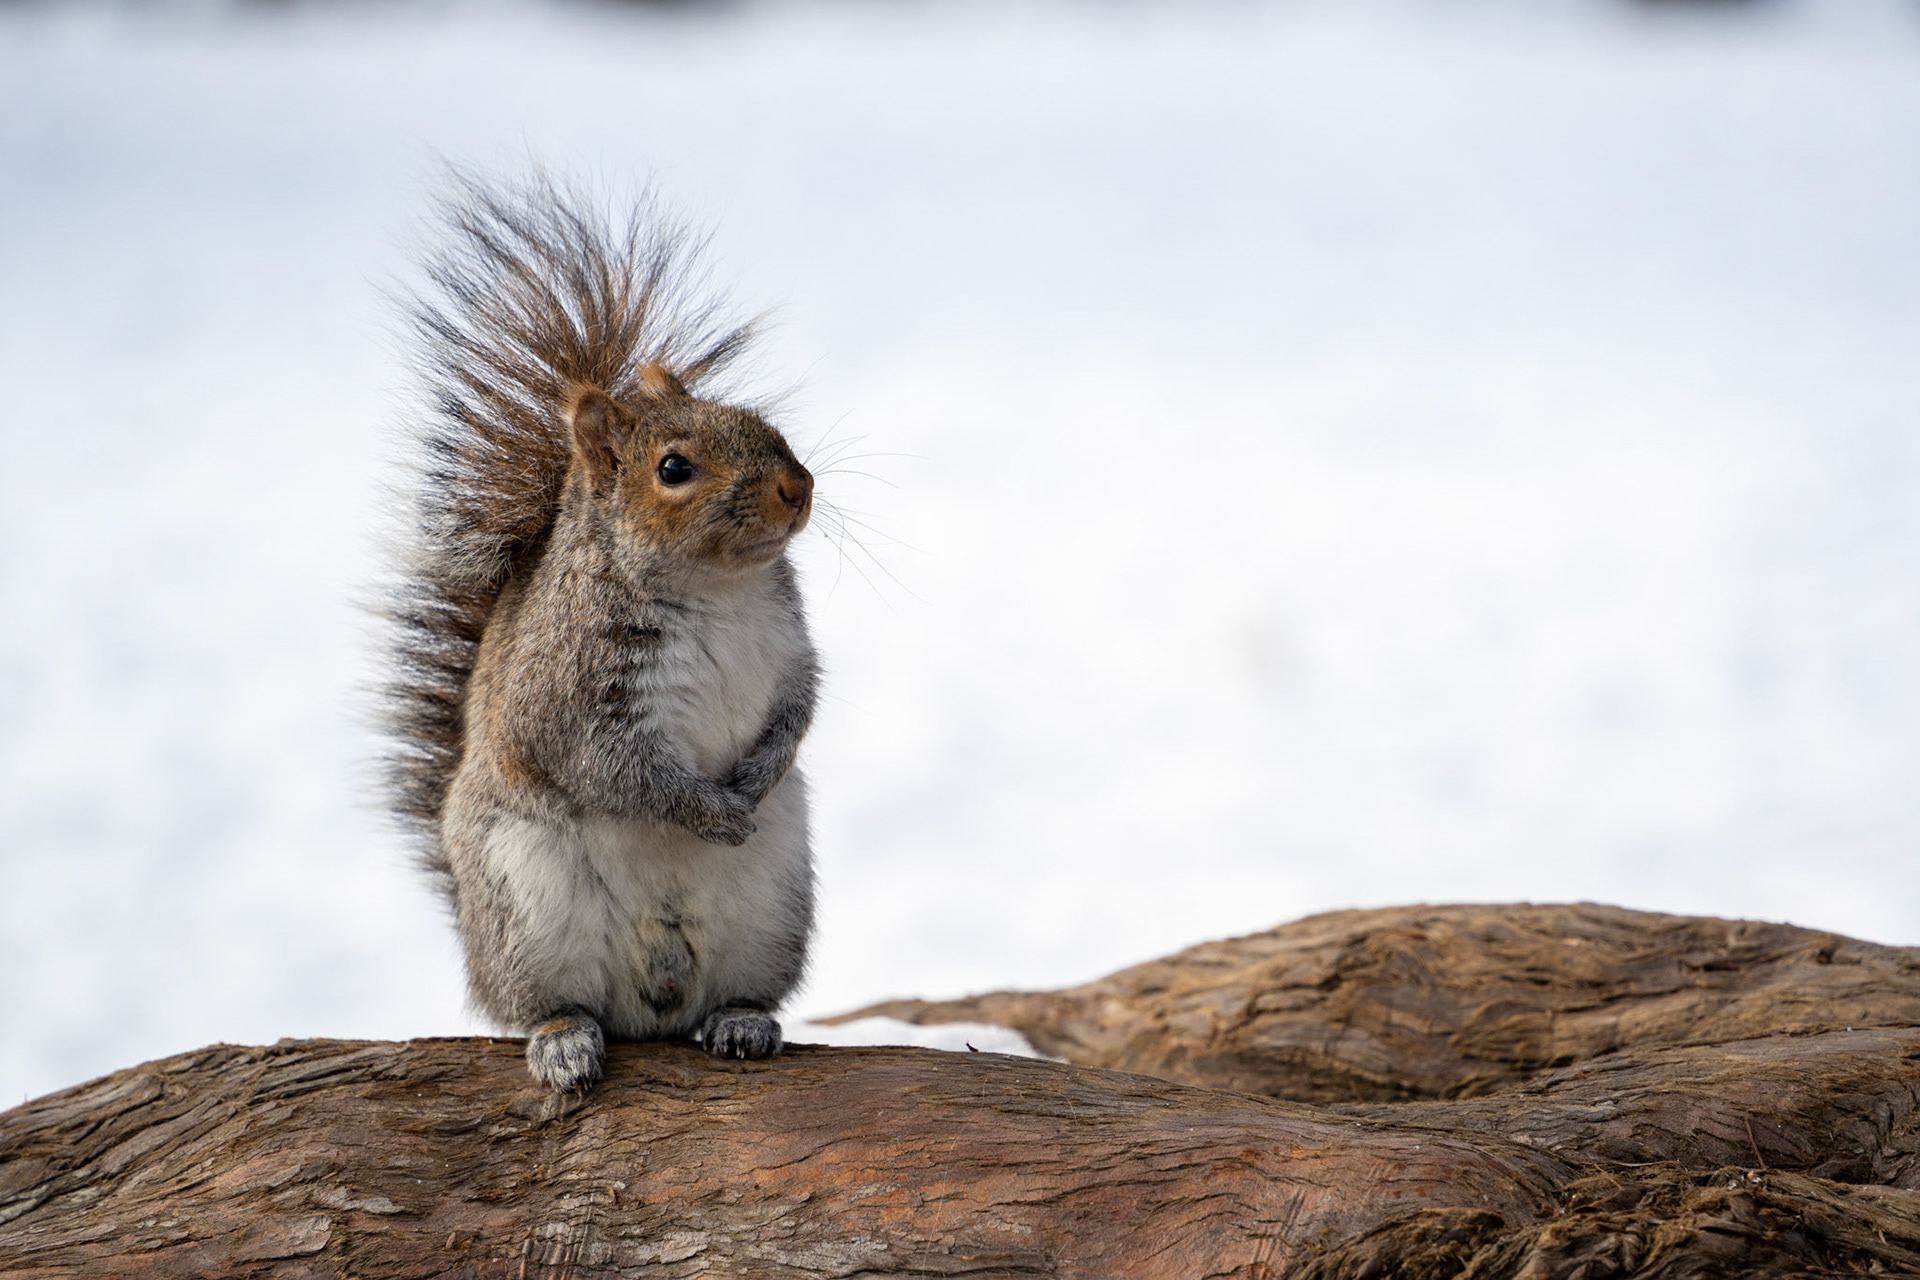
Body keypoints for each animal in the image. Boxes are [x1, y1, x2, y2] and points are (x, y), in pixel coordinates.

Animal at [382, 173, 820, 1093]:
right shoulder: (569, 698)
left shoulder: (794, 646)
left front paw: (759, 775)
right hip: (528, 912)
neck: (716, 593)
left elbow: (801, 708)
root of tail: (652, 1001)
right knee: (548, 1002)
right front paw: (710, 810)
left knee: (737, 990)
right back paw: (563, 1040)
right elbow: (621, 771)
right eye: (673, 469)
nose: (799, 487)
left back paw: (741, 1021)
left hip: (773, 909)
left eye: (757, 417)